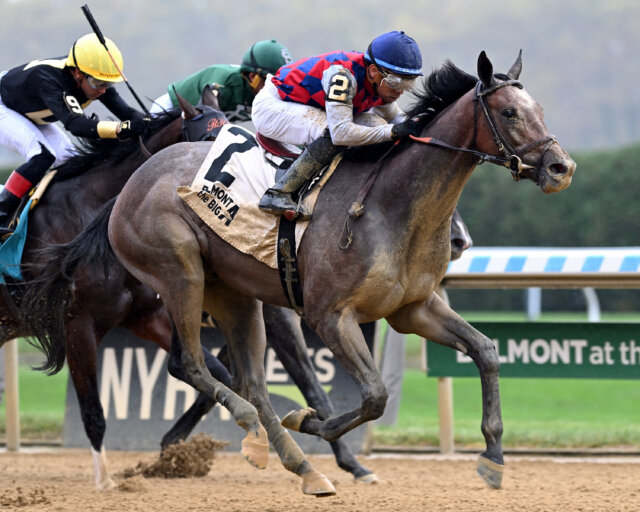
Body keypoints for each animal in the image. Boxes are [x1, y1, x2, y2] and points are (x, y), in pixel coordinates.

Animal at [31, 51, 576, 492]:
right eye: (509, 112)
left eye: (539, 110)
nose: (561, 168)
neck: (393, 205)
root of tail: (129, 185)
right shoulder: (328, 315)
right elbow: (371, 396)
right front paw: (312, 423)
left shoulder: (414, 308)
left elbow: (486, 353)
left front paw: (494, 457)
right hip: (180, 274)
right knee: (192, 365)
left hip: (235, 295)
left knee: (247, 379)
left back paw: (295, 463)